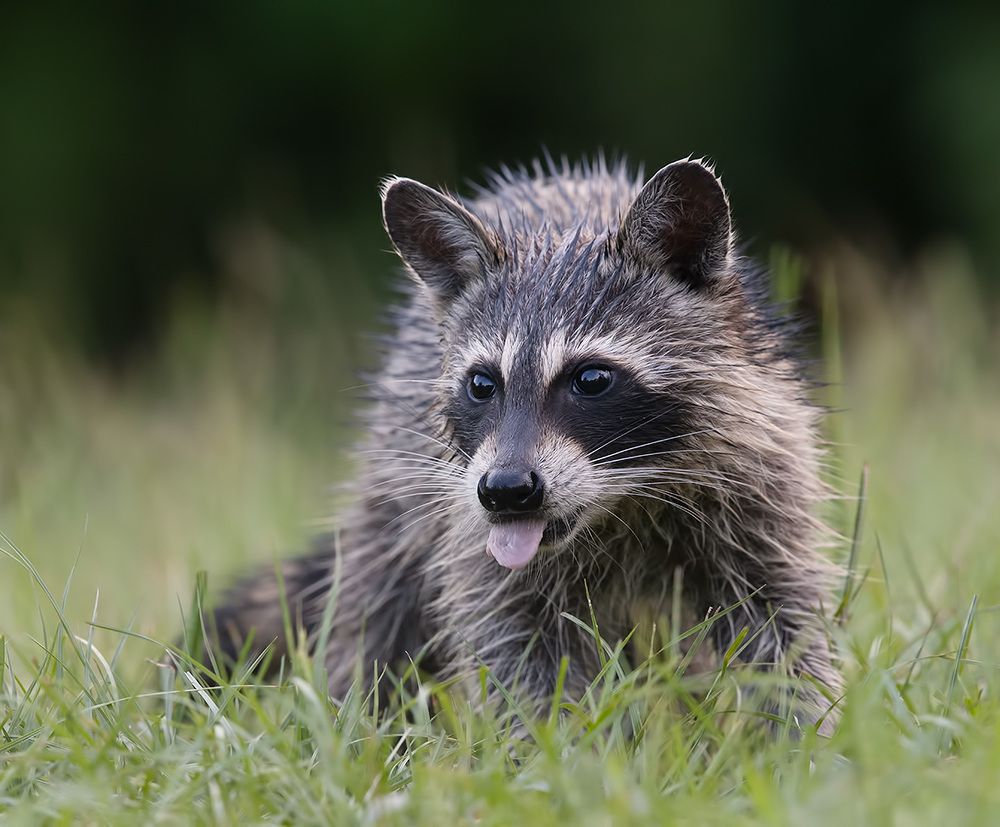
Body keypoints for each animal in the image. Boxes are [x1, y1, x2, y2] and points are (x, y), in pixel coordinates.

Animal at [208, 156, 841, 732]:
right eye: (482, 384)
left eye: (591, 379)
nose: (506, 491)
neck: (626, 503)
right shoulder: (469, 528)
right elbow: (518, 652)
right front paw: (565, 754)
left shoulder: (761, 480)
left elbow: (783, 625)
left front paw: (805, 740)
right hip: (397, 474)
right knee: (376, 597)